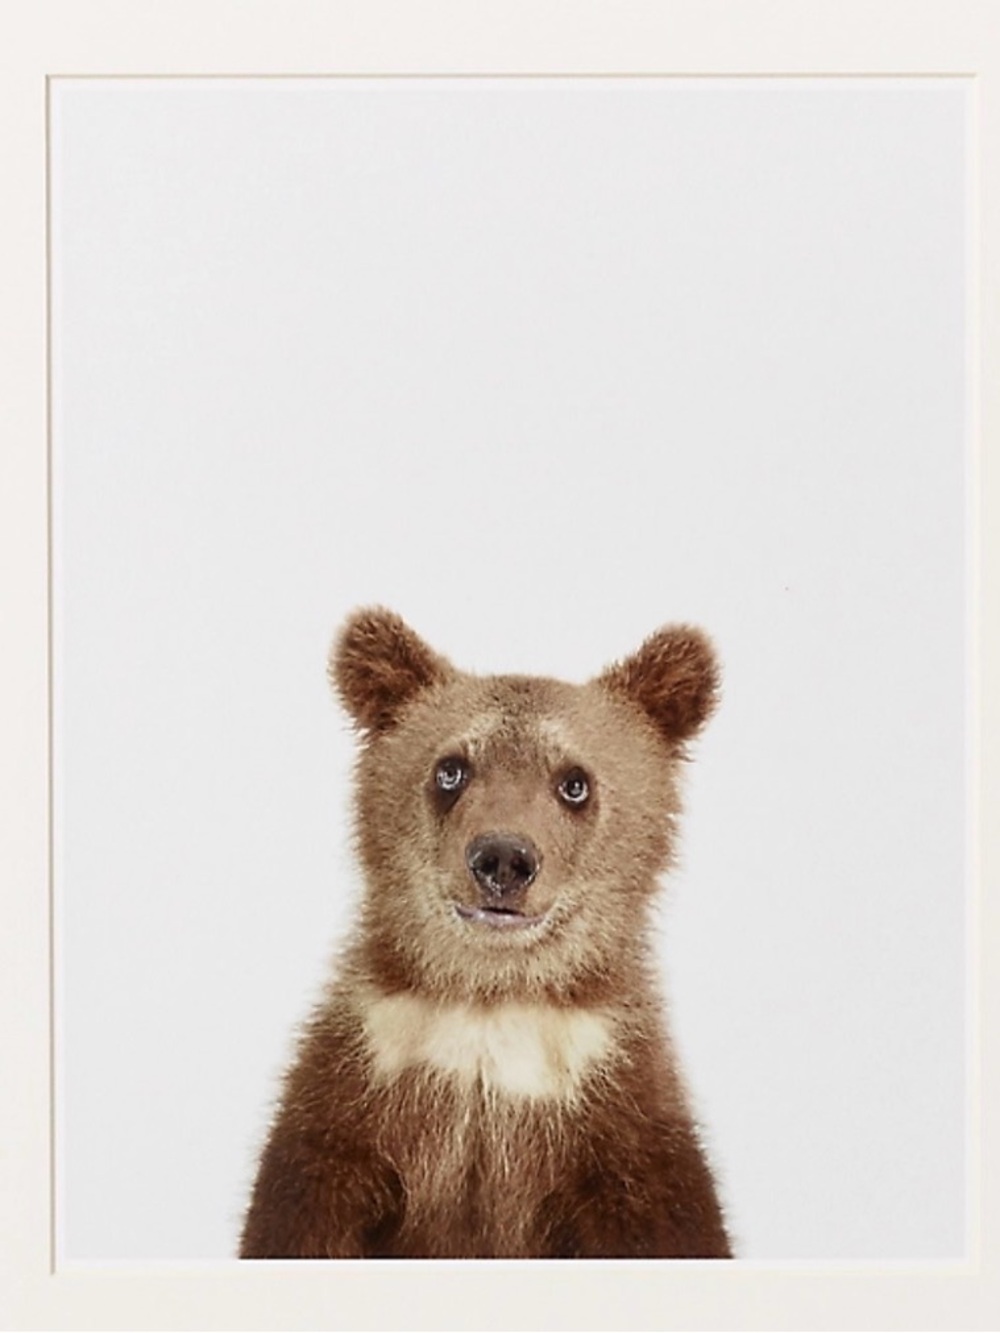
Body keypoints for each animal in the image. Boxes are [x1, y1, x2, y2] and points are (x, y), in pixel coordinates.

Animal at [239, 607, 731, 1259]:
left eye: (575, 781)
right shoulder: (349, 1102)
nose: (502, 858)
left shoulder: (622, 1131)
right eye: (451, 769)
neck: (491, 1001)